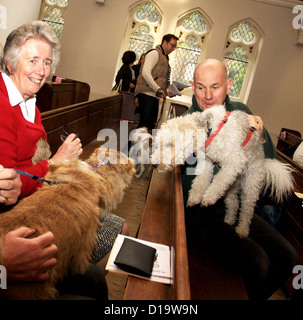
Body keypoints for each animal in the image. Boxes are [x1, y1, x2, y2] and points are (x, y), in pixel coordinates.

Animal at [152, 105, 294, 238]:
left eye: (169, 143)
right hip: (231, 187)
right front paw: (195, 197)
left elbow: (219, 180)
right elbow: (200, 182)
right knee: (234, 203)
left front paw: (208, 197)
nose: (153, 164)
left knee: (247, 211)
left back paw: (242, 229)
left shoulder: (234, 161)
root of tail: (263, 161)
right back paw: (229, 220)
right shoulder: (207, 162)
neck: (209, 131)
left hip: (250, 185)